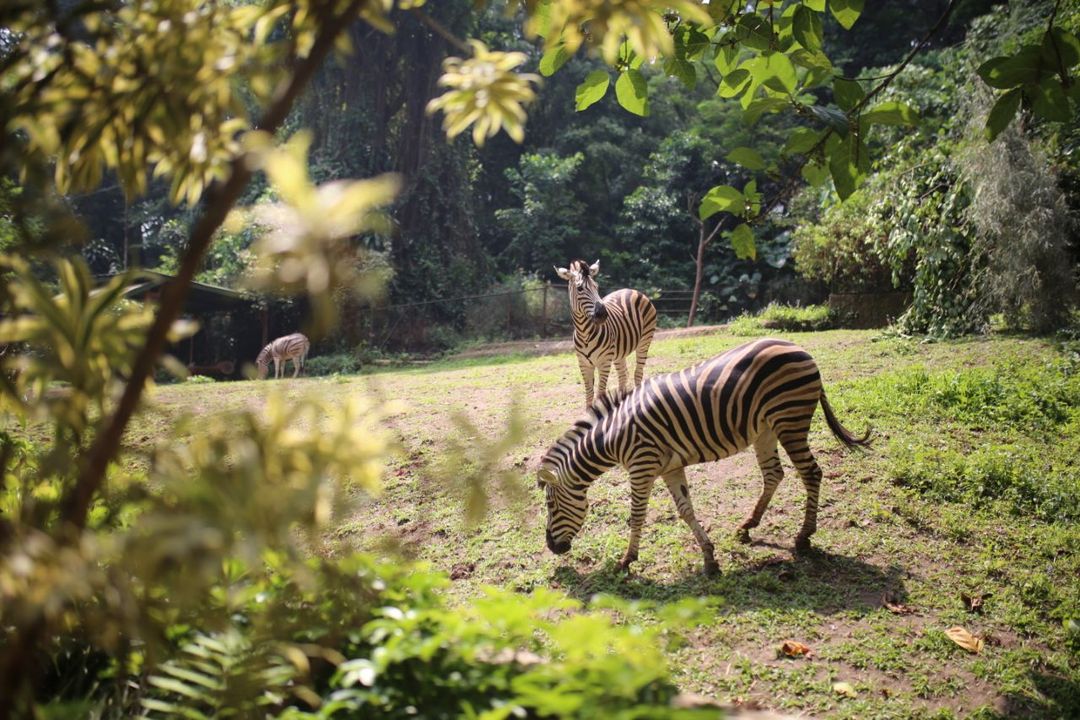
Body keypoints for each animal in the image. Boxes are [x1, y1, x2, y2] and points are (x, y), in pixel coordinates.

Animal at [535, 338, 872, 574]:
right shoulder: (669, 468)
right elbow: (686, 510)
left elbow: (637, 514)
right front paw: (709, 559)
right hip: (766, 429)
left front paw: (627, 560)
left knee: (811, 473)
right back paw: (748, 526)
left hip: (790, 420)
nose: (551, 548)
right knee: (774, 474)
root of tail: (800, 348)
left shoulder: (642, 465)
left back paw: (803, 537)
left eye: (550, 505)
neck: (613, 435)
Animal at [557, 259, 656, 408]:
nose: (603, 314)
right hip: (619, 352)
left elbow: (600, 393)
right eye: (580, 289)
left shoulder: (604, 362)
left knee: (638, 373)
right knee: (623, 375)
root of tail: (631, 290)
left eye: (596, 286)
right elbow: (589, 394)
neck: (584, 333)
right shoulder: (584, 364)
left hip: (644, 341)